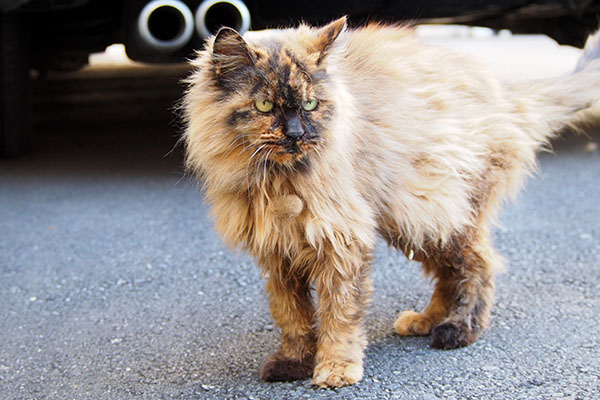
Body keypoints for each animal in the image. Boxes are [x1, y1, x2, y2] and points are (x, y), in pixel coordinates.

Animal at [183, 16, 600, 388]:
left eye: (311, 104)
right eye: (266, 106)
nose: (297, 134)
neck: (279, 179)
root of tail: (502, 92)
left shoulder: (342, 242)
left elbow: (339, 315)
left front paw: (336, 368)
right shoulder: (278, 252)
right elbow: (292, 315)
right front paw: (294, 361)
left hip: (433, 213)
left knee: (479, 266)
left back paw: (459, 329)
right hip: (418, 223)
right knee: (450, 273)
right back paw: (427, 321)